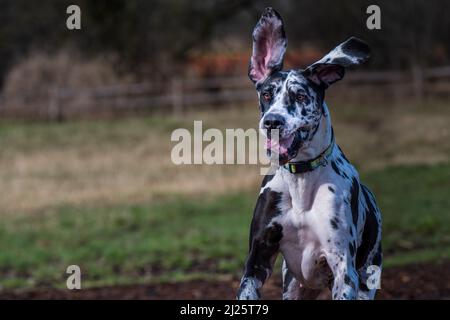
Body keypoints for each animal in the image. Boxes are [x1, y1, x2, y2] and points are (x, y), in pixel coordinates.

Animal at [237, 6, 382, 300]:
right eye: (266, 94)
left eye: (301, 96)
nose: (272, 122)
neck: (300, 182)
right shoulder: (257, 258)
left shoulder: (343, 272)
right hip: (294, 285)